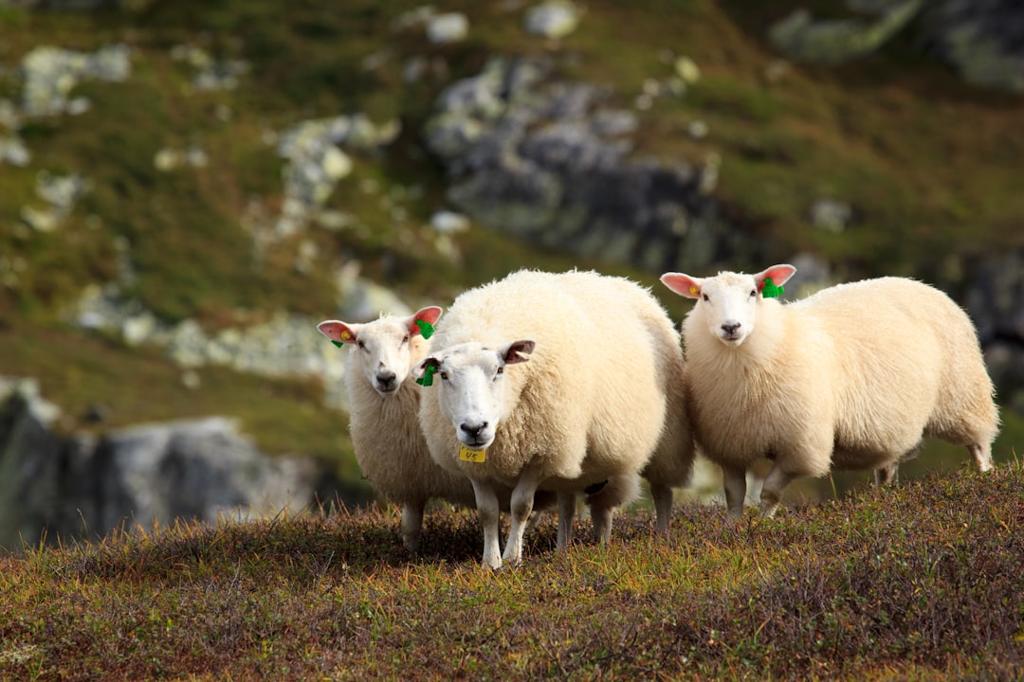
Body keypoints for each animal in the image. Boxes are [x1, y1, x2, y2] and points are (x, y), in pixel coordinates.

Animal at [313, 305, 477, 548]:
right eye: (361, 343)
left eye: (405, 338)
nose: (386, 377)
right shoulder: (410, 477)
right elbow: (410, 527)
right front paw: (410, 552)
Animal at [417, 268, 696, 565]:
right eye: (444, 375)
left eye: (499, 370)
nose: (474, 428)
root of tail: (625, 282)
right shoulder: (474, 464)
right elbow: (487, 511)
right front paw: (490, 562)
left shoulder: (541, 453)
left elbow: (521, 506)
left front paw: (512, 560)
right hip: (575, 456)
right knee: (572, 503)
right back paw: (568, 549)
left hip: (668, 438)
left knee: (659, 490)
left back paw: (657, 538)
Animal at [659, 266, 995, 516]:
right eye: (705, 296)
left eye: (753, 293)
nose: (731, 327)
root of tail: (921, 284)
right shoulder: (730, 446)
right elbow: (734, 496)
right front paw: (734, 529)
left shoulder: (801, 448)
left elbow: (769, 493)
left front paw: (762, 527)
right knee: (887, 469)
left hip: (963, 395)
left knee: (979, 443)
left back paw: (986, 481)